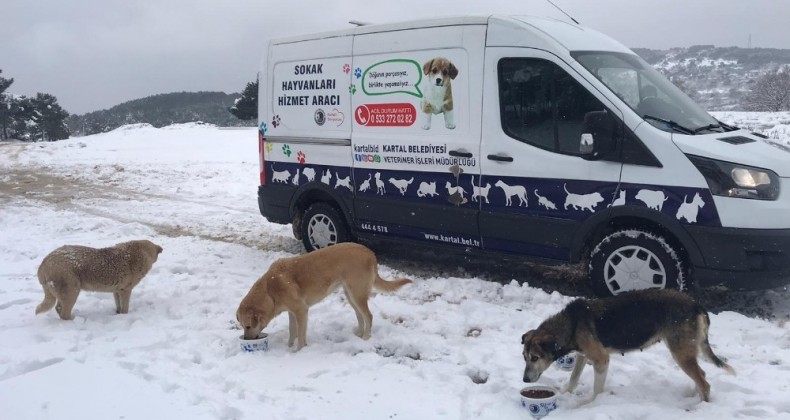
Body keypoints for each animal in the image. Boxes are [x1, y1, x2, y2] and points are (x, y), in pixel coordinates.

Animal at [237, 241, 414, 350]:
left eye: (248, 326)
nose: (246, 339)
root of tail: (370, 253)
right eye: (243, 326)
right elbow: (292, 331)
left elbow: (300, 334)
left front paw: (298, 351)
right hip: (351, 295)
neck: (270, 289)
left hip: (357, 294)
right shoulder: (292, 312)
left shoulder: (301, 311)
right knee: (360, 316)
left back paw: (365, 338)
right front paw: (288, 347)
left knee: (368, 316)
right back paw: (358, 334)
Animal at [524, 288, 736, 404]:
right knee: (701, 375)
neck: (572, 323)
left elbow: (597, 389)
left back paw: (700, 405)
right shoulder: (583, 355)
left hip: (680, 352)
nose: (525, 380)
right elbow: (574, 379)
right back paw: (693, 394)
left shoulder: (601, 359)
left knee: (705, 382)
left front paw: (590, 404)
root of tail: (696, 305)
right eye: (524, 357)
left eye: (535, 357)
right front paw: (565, 392)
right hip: (686, 352)